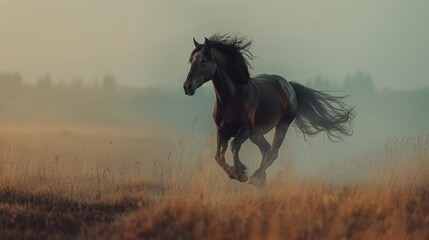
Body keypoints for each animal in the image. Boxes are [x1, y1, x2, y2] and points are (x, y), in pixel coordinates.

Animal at [182, 34, 352, 188]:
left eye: (204, 61)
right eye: (191, 60)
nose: (187, 86)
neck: (233, 97)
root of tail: (288, 85)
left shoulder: (244, 129)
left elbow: (234, 146)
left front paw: (241, 173)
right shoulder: (222, 130)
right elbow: (218, 156)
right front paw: (237, 171)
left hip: (281, 125)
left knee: (272, 152)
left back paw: (256, 177)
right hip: (256, 134)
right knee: (265, 149)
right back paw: (260, 179)